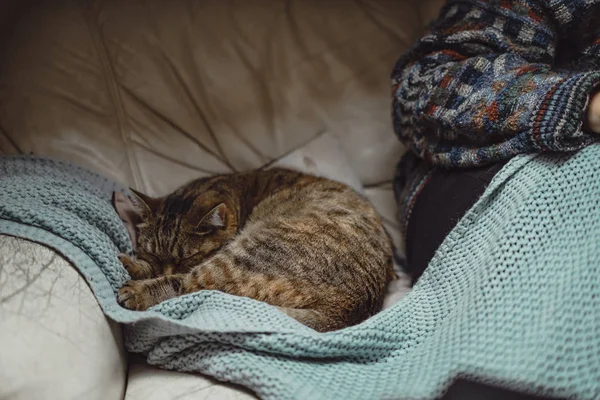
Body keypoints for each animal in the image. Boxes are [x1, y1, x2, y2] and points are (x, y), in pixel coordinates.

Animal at [114, 166, 396, 332]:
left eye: (189, 257)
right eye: (152, 252)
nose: (165, 269)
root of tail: (347, 311)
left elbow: (176, 282)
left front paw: (139, 279)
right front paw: (136, 263)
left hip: (243, 256)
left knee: (187, 286)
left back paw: (137, 291)